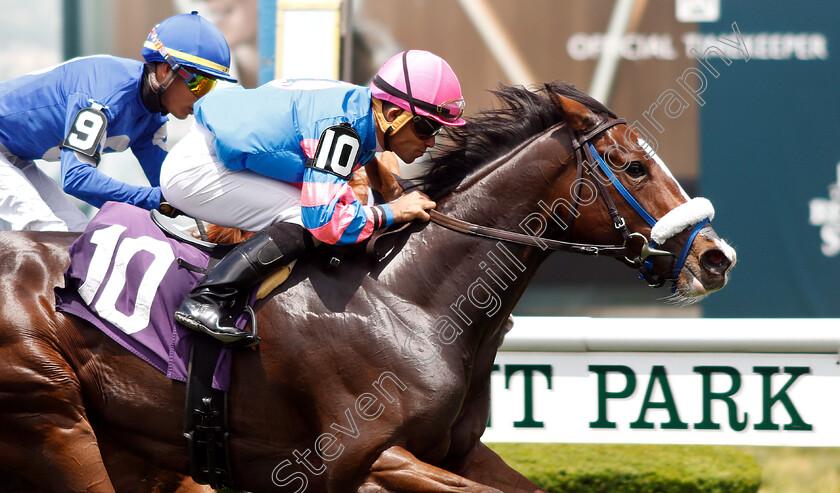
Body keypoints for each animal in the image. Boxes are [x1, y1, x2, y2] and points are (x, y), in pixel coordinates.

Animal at [0, 82, 736, 490]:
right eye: (635, 167)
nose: (715, 257)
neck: (413, 303)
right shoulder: (364, 461)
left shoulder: (458, 452)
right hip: (53, 421)